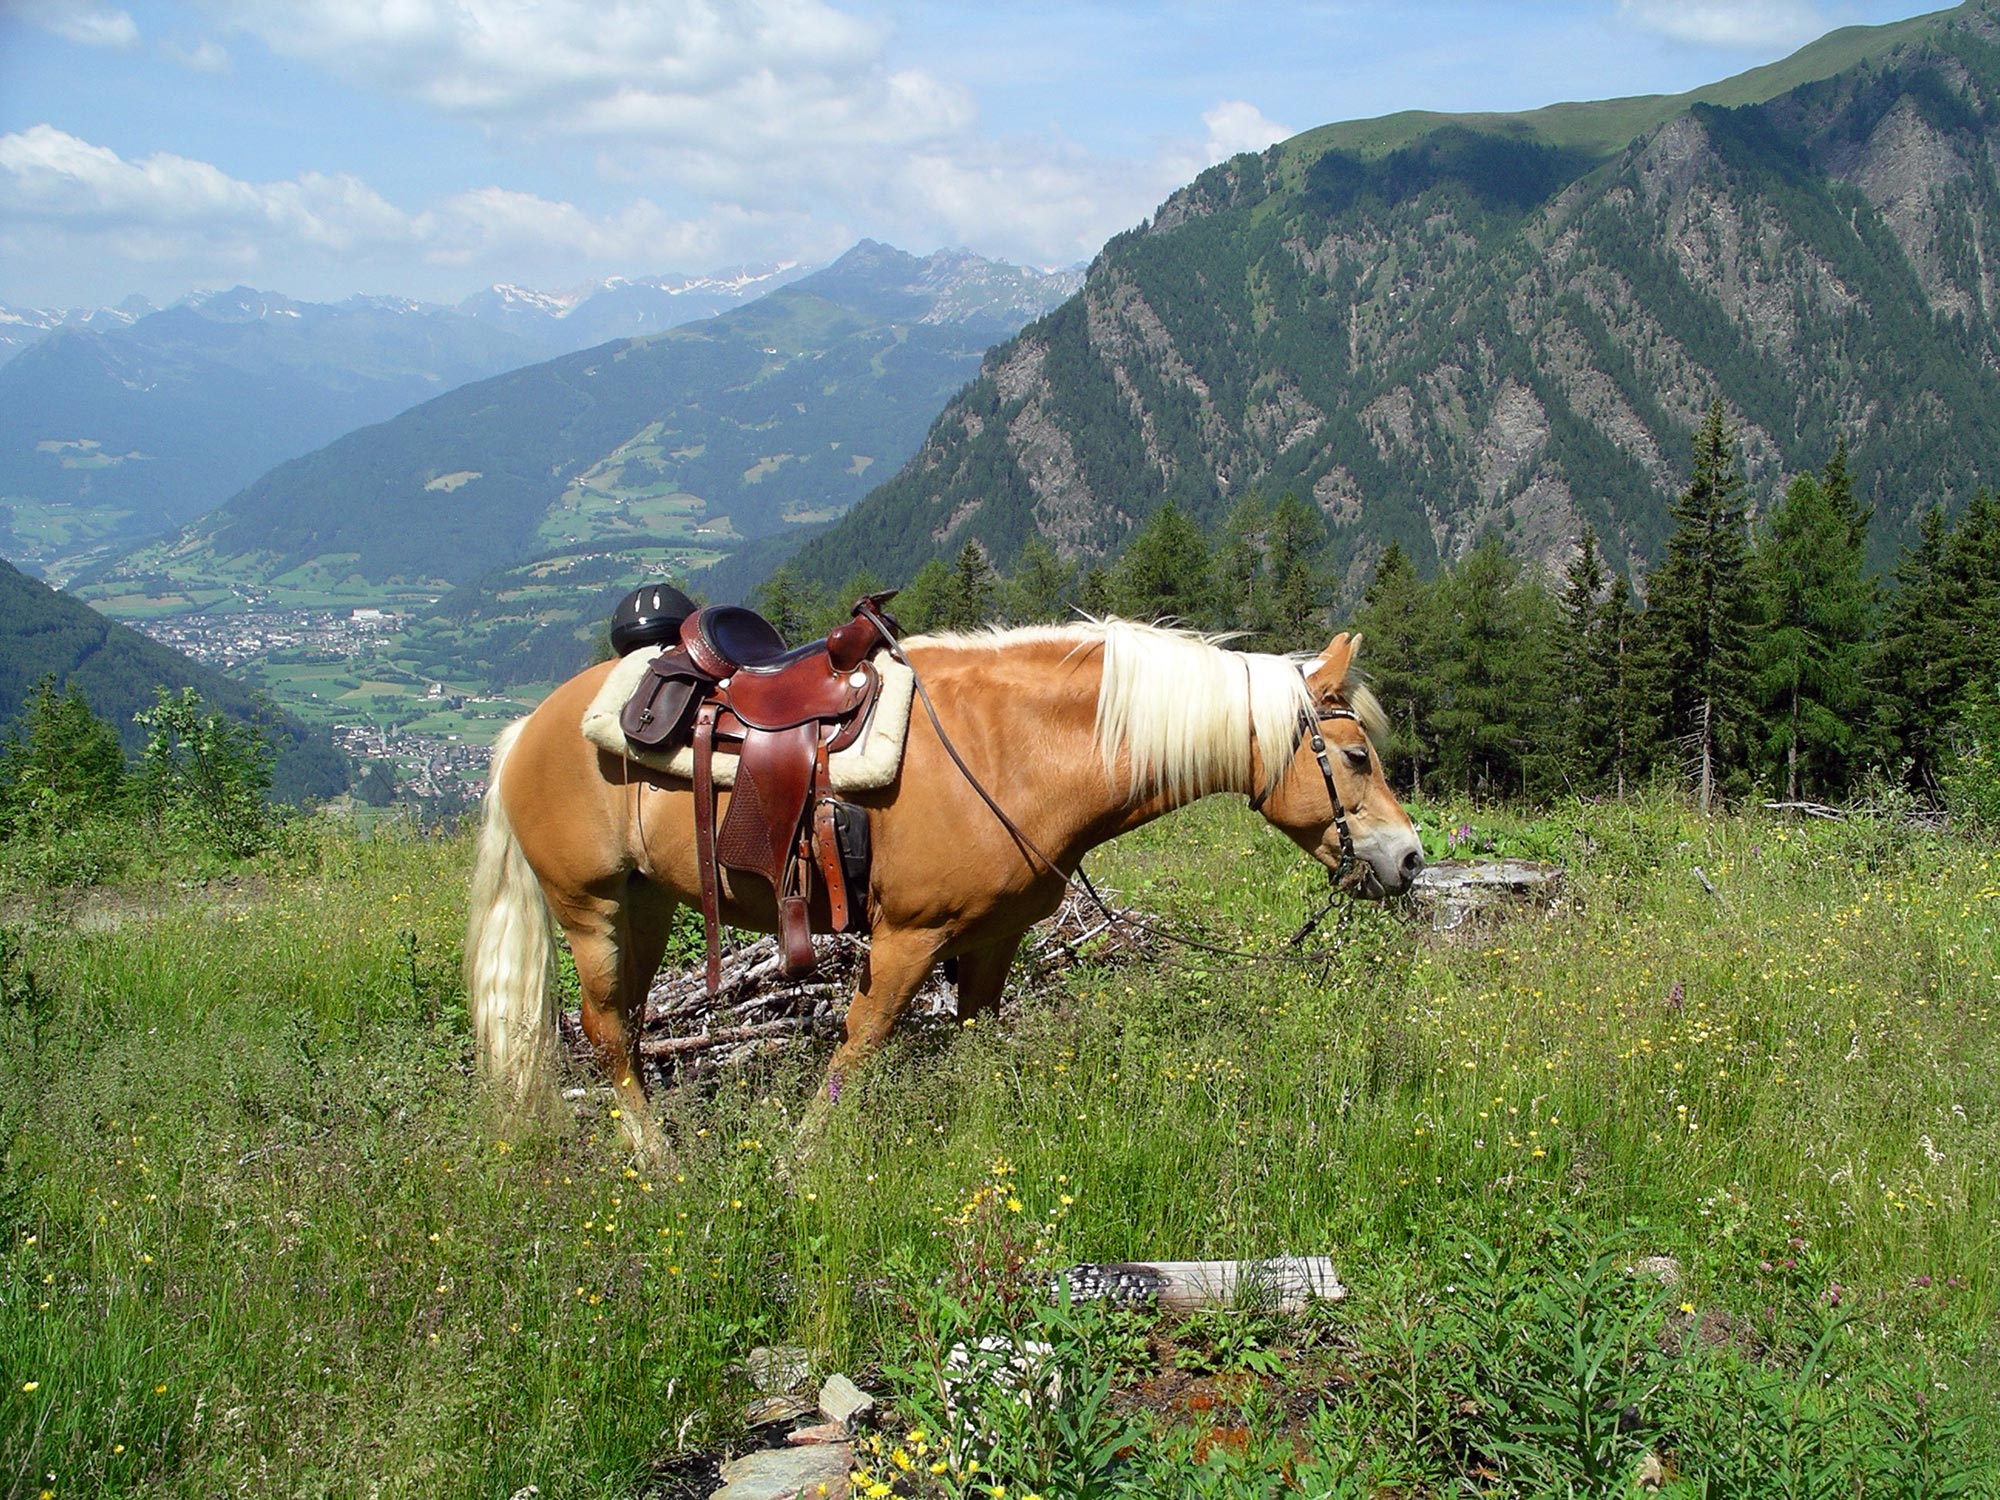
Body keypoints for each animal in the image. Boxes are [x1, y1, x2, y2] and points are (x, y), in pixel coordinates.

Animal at [464, 616, 1424, 1160]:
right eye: (1355, 756)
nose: (1410, 859)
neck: (1012, 750)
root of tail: (527, 728)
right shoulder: (907, 937)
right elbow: (859, 1045)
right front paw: (802, 1162)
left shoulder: (992, 939)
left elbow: (981, 1047)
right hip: (590, 906)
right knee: (603, 1033)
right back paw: (659, 1167)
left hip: (648, 904)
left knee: (623, 1025)